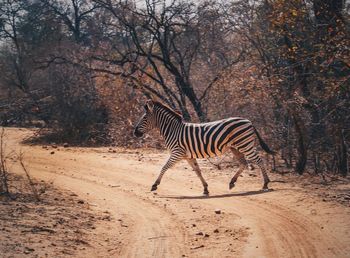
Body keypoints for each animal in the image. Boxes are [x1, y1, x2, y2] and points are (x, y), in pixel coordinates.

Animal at [133, 100, 274, 195]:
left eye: (144, 118)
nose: (135, 133)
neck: (173, 130)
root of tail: (248, 121)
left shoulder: (177, 153)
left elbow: (164, 167)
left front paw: (154, 185)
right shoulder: (188, 156)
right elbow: (198, 171)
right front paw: (205, 188)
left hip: (245, 144)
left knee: (259, 160)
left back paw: (265, 183)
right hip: (235, 147)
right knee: (244, 163)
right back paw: (232, 182)